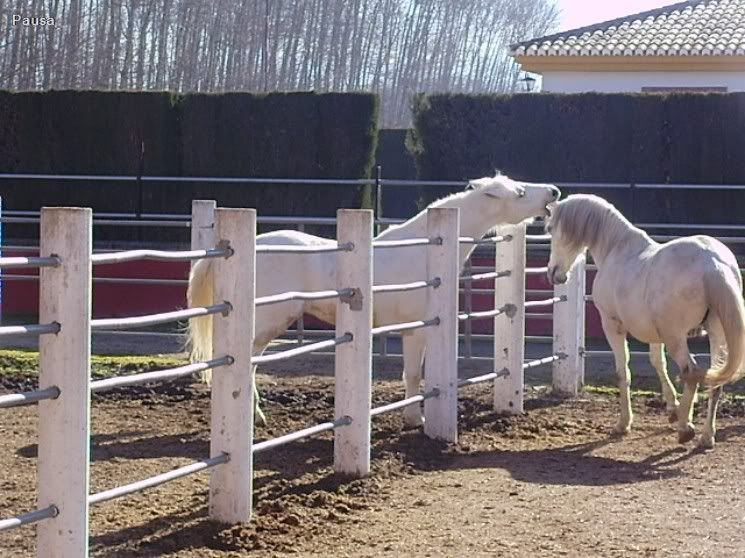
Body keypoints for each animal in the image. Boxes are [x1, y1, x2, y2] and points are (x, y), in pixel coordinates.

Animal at [186, 175, 560, 428]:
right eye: (520, 192)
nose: (554, 192)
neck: (423, 251)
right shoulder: (415, 330)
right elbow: (413, 374)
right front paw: (415, 420)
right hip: (267, 323)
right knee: (247, 365)